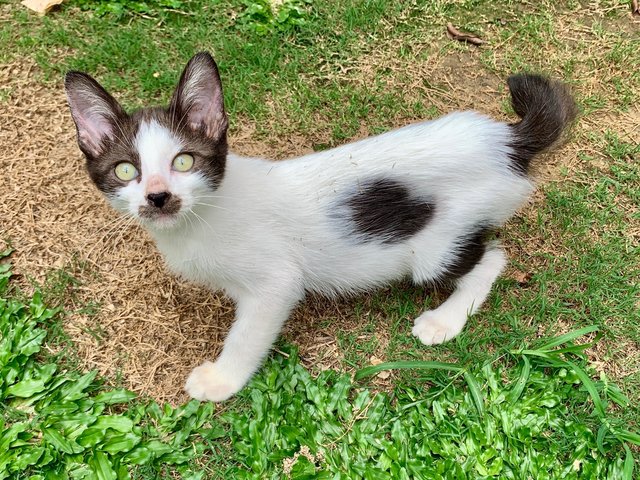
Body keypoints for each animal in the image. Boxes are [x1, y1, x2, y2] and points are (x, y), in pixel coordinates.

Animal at [63, 51, 576, 402]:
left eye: (184, 161)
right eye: (126, 170)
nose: (158, 196)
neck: (202, 217)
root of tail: (506, 140)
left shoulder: (275, 282)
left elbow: (249, 333)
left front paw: (222, 380)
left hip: (439, 243)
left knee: (491, 258)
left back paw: (445, 320)